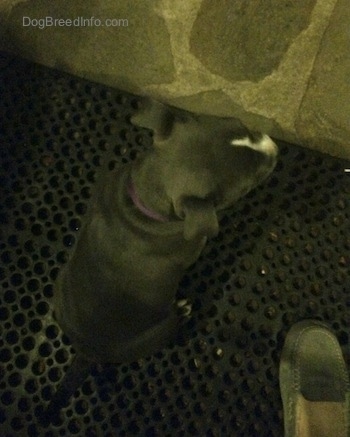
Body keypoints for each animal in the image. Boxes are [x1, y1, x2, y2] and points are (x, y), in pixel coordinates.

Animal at [46, 98, 278, 416]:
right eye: (249, 183)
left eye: (240, 123)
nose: (274, 147)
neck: (144, 203)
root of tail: (85, 352)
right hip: (159, 329)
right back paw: (182, 309)